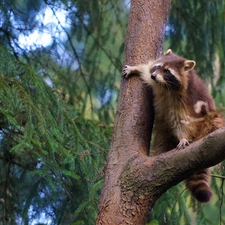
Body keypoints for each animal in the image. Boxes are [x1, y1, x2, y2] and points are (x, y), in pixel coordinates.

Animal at [122, 48, 224, 202]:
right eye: (157, 67)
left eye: (167, 71)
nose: (153, 75)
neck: (165, 86)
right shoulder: (156, 81)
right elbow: (146, 72)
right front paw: (137, 68)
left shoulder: (184, 99)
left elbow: (183, 120)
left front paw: (183, 137)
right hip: (164, 131)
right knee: (162, 138)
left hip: (209, 122)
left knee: (215, 121)